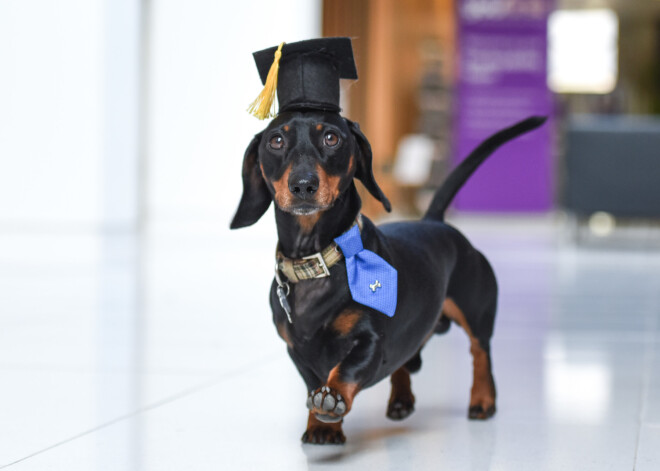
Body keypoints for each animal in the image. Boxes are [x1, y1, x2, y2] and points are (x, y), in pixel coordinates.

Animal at [232, 37, 548, 446]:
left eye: (331, 137)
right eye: (276, 140)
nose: (303, 185)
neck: (319, 259)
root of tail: (436, 223)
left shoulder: (370, 341)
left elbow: (344, 371)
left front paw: (331, 402)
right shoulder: (296, 351)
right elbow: (313, 383)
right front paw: (322, 425)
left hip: (476, 311)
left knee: (481, 353)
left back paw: (482, 400)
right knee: (407, 360)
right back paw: (401, 399)